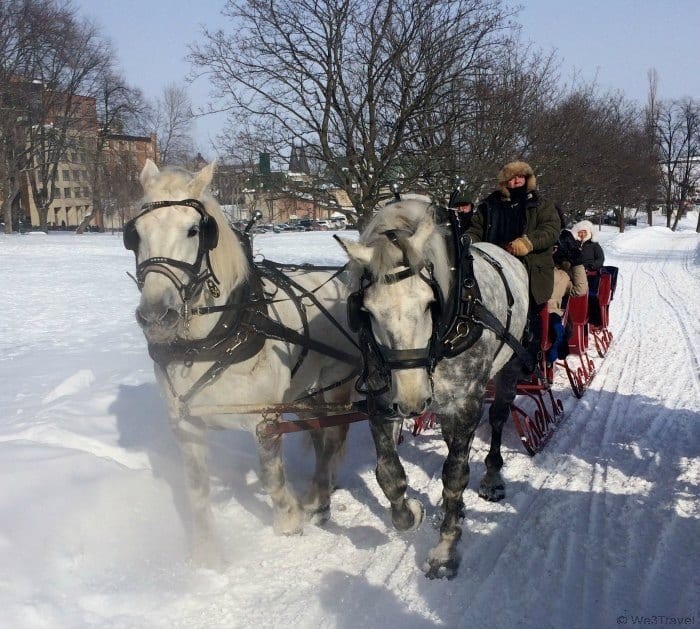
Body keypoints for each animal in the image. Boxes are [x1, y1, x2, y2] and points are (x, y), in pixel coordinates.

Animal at [126, 161, 364, 564]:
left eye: (195, 230)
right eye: (135, 234)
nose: (156, 315)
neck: (207, 342)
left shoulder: (264, 419)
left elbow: (271, 477)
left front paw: (289, 521)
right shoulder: (185, 423)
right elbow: (196, 488)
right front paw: (206, 554)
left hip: (338, 382)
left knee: (333, 437)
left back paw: (318, 497)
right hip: (302, 392)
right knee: (319, 434)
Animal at [336, 197, 528, 580]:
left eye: (429, 303)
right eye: (367, 310)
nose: (412, 401)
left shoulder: (466, 404)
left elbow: (455, 476)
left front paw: (445, 550)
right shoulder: (381, 399)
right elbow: (388, 473)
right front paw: (410, 514)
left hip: (509, 368)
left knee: (498, 419)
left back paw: (492, 477)